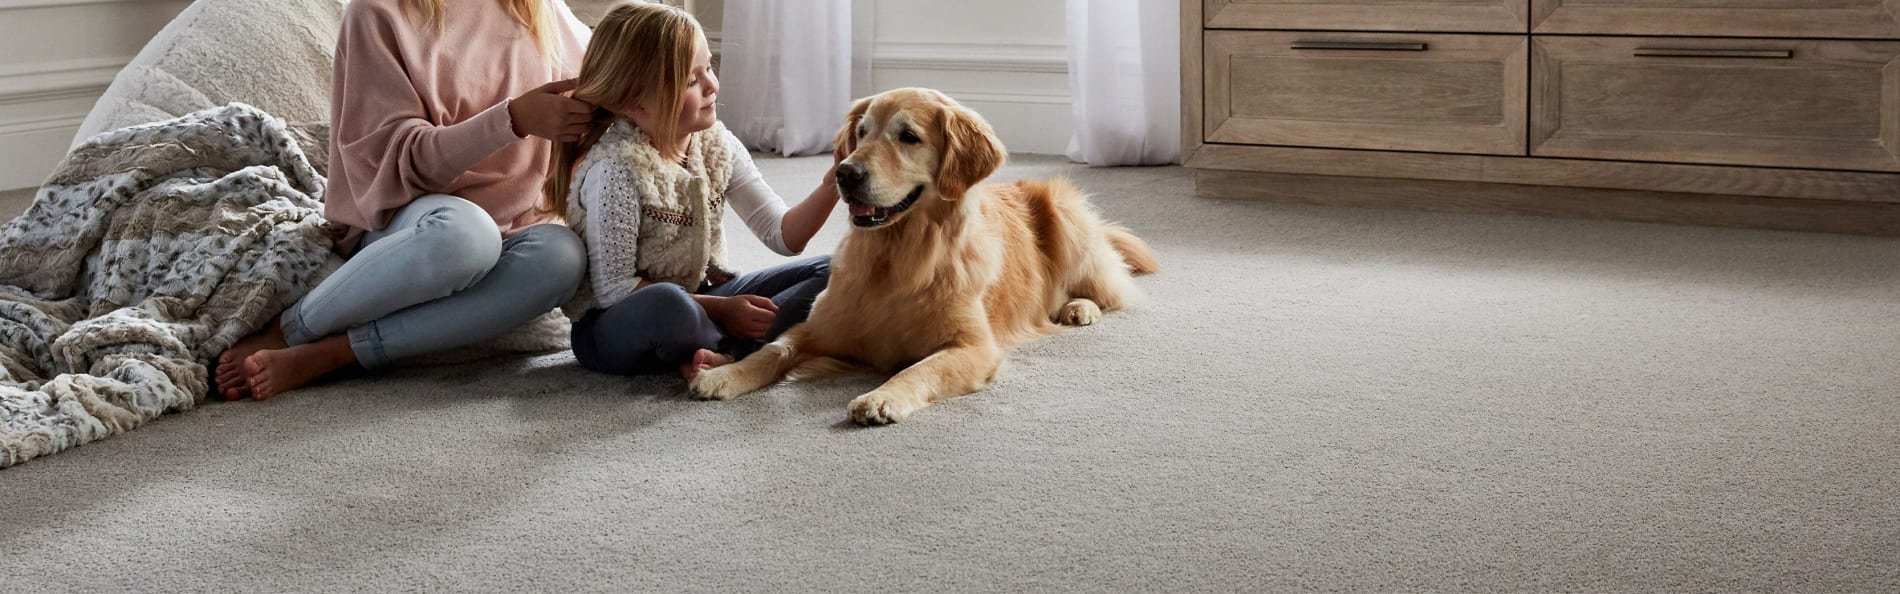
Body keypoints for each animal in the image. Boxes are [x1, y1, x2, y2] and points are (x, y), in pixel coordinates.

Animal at [687, 86, 1155, 421]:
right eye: (861, 132)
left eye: (908, 136)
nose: (845, 173)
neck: (896, 253)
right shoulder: (816, 328)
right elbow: (772, 350)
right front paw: (723, 374)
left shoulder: (974, 347)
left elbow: (919, 368)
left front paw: (881, 398)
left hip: (1065, 214)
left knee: (1113, 291)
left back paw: (1080, 307)